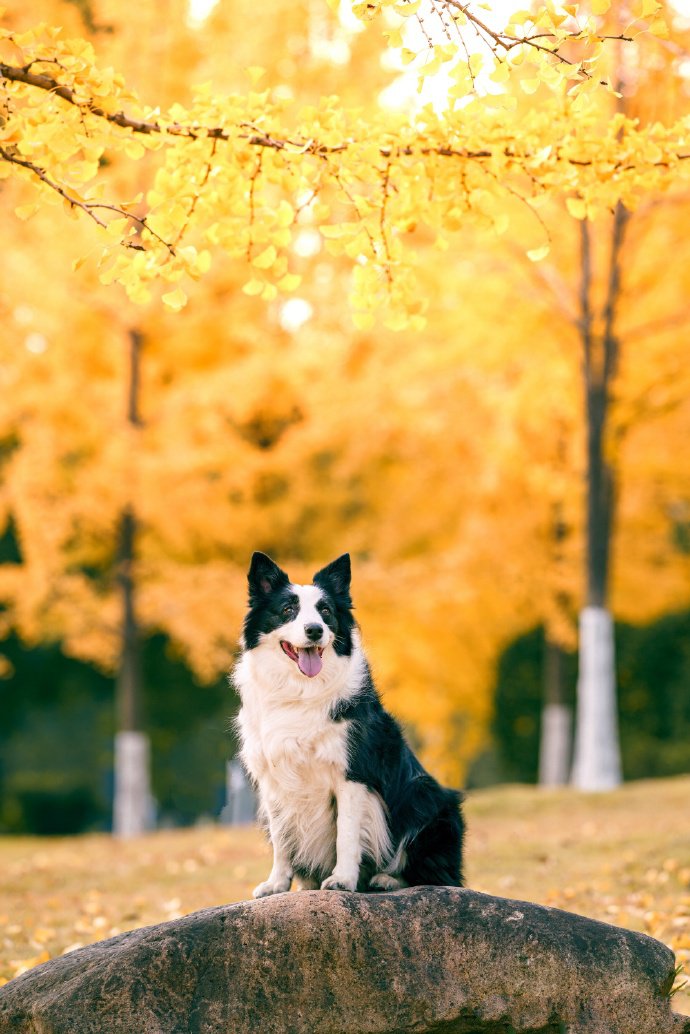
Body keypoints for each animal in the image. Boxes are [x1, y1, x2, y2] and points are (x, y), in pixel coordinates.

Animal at [231, 550, 463, 897]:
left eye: (325, 611)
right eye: (287, 610)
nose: (315, 630)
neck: (299, 691)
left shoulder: (352, 774)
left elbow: (347, 835)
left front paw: (342, 880)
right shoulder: (273, 778)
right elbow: (282, 839)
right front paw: (277, 884)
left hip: (427, 795)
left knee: (437, 875)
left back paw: (386, 879)